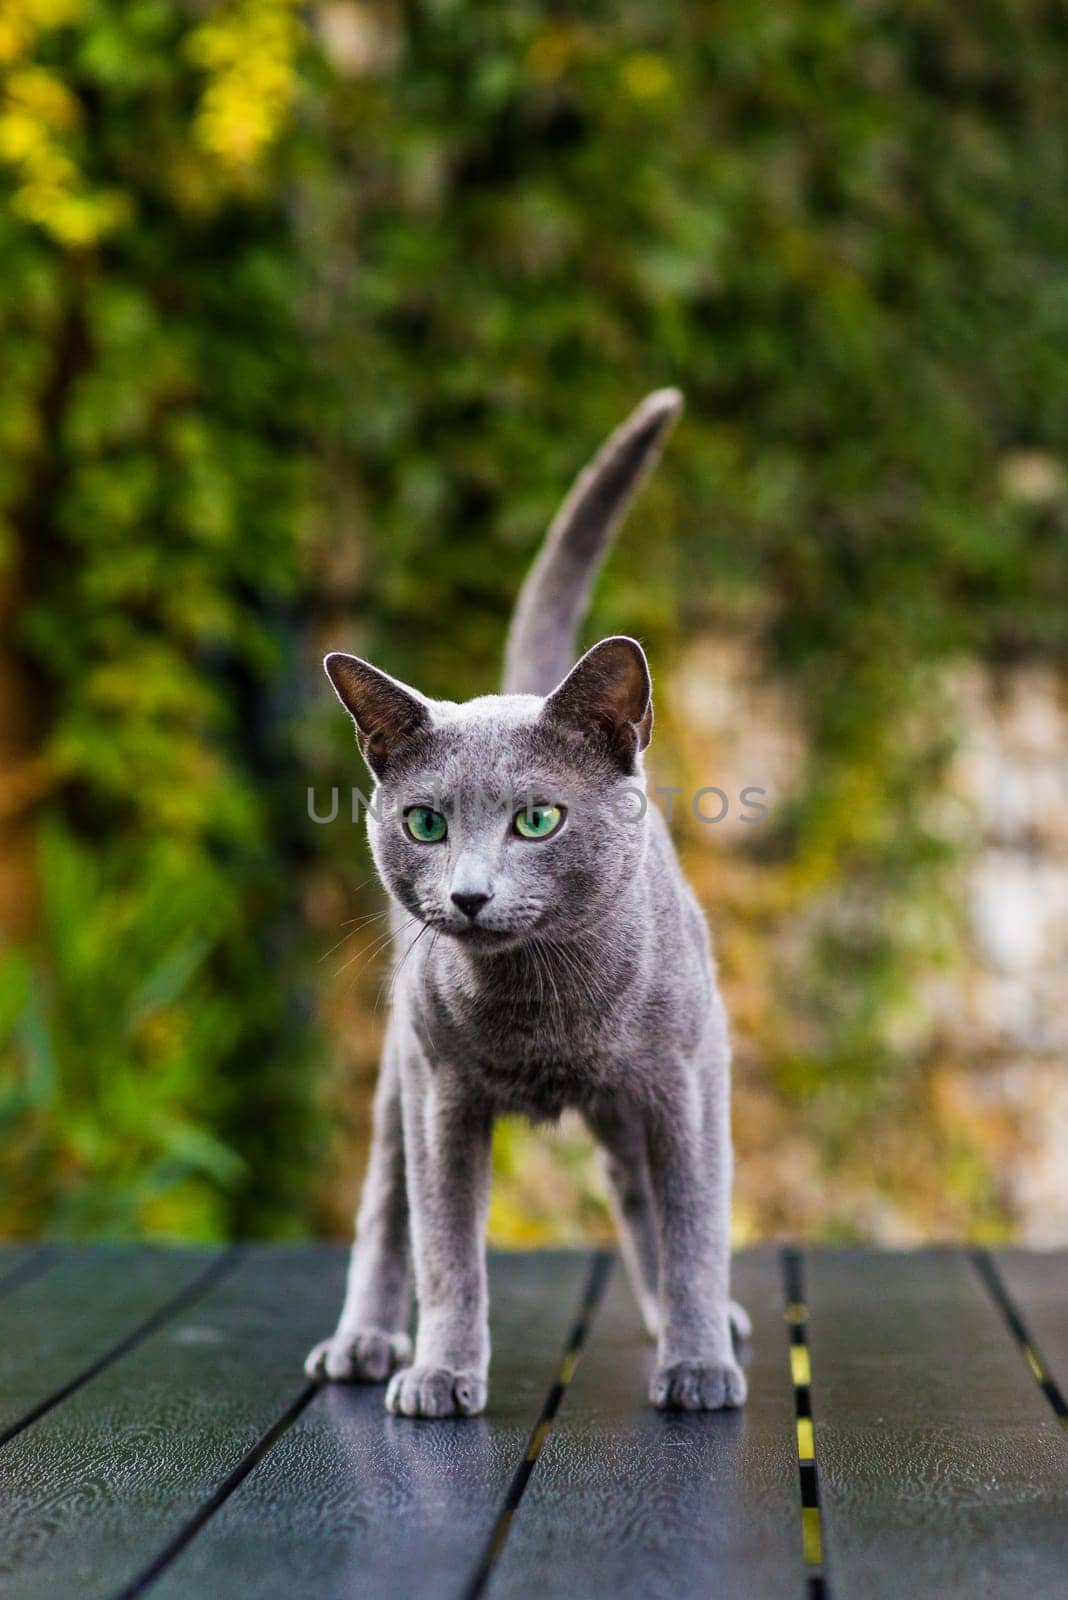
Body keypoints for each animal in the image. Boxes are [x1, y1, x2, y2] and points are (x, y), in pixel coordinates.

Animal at [303, 387, 748, 1414]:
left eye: (538, 819)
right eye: (427, 824)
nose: (469, 895)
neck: (545, 1003)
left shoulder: (689, 1075)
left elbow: (696, 1226)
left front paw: (699, 1363)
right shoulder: (441, 1093)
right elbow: (446, 1250)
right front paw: (441, 1372)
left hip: (635, 1095)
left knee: (644, 1199)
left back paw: (695, 1326)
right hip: (401, 1067)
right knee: (383, 1206)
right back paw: (364, 1341)